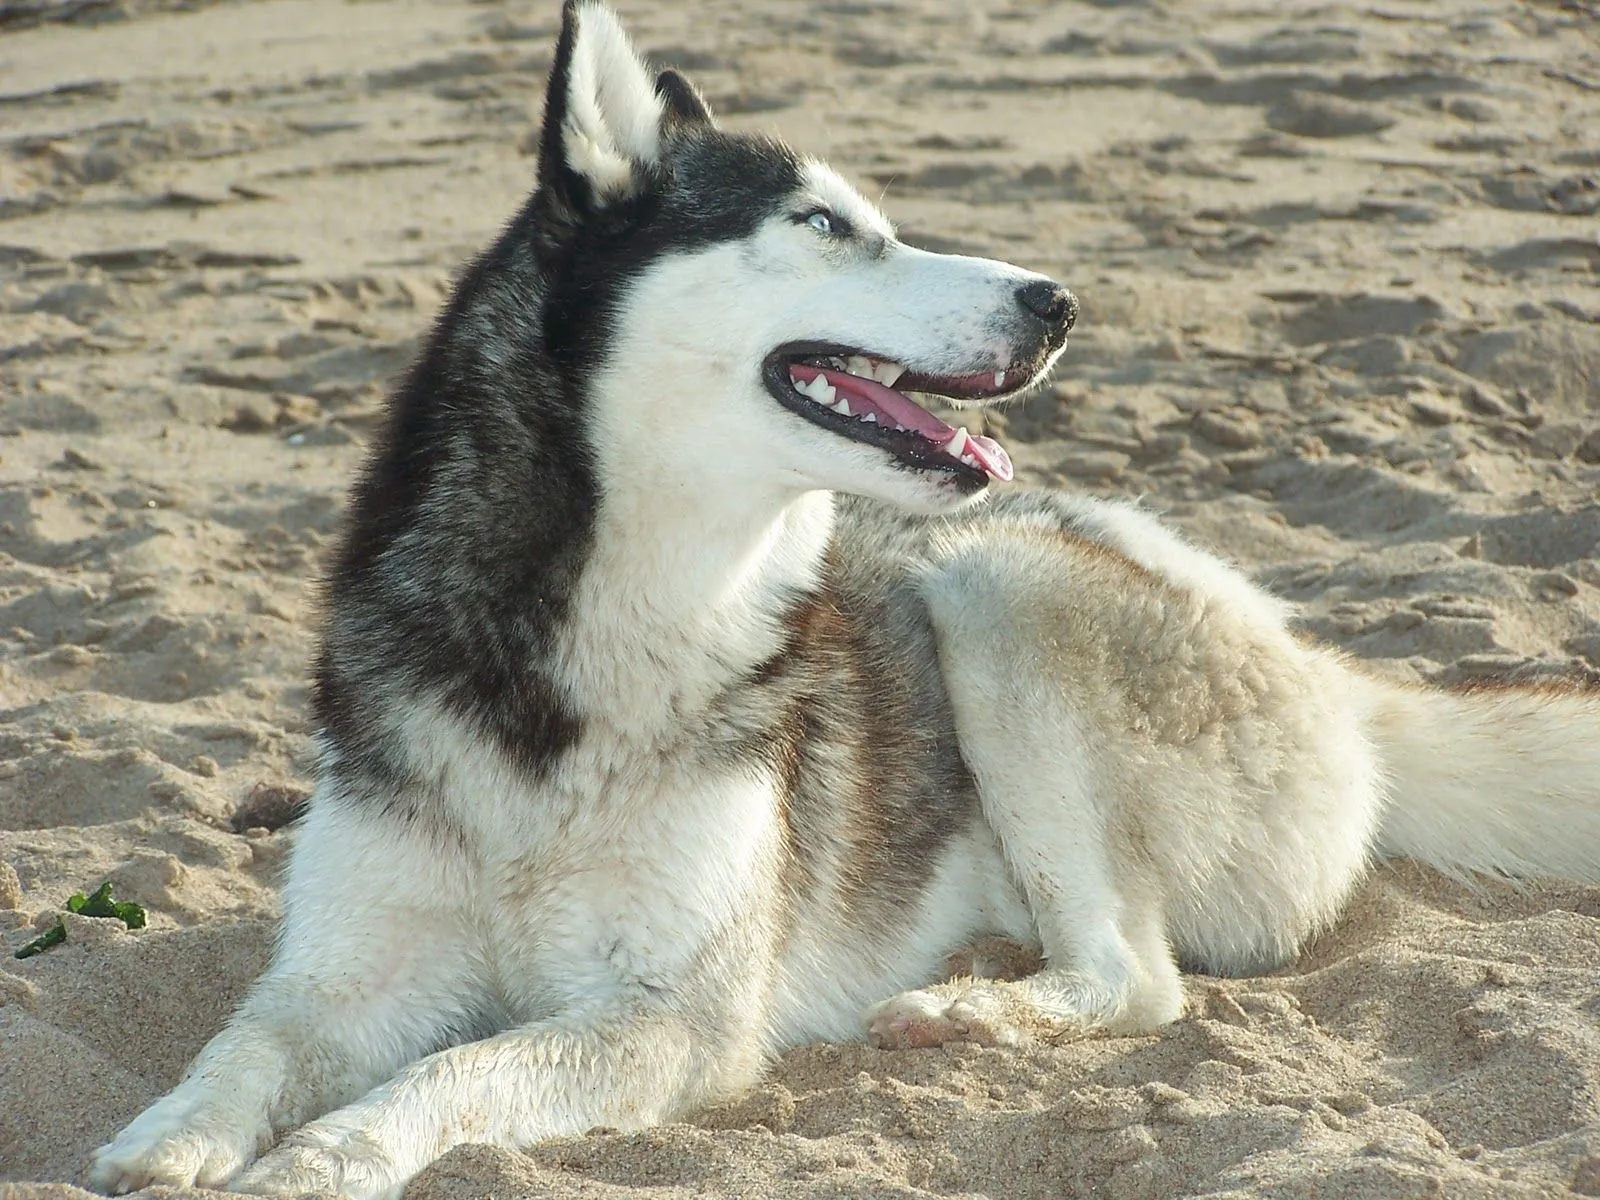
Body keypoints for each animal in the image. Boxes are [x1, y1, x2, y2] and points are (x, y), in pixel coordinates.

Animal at [90, 4, 1600, 1196]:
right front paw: (164, 1139)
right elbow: (248, 1044)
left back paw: (978, 1015)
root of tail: (1322, 666)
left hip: (997, 581)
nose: (1058, 301)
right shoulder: (346, 973)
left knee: (1138, 976)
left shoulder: (674, 1021)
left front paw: (323, 1159)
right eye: (823, 227)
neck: (582, 646)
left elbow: (444, 1078)